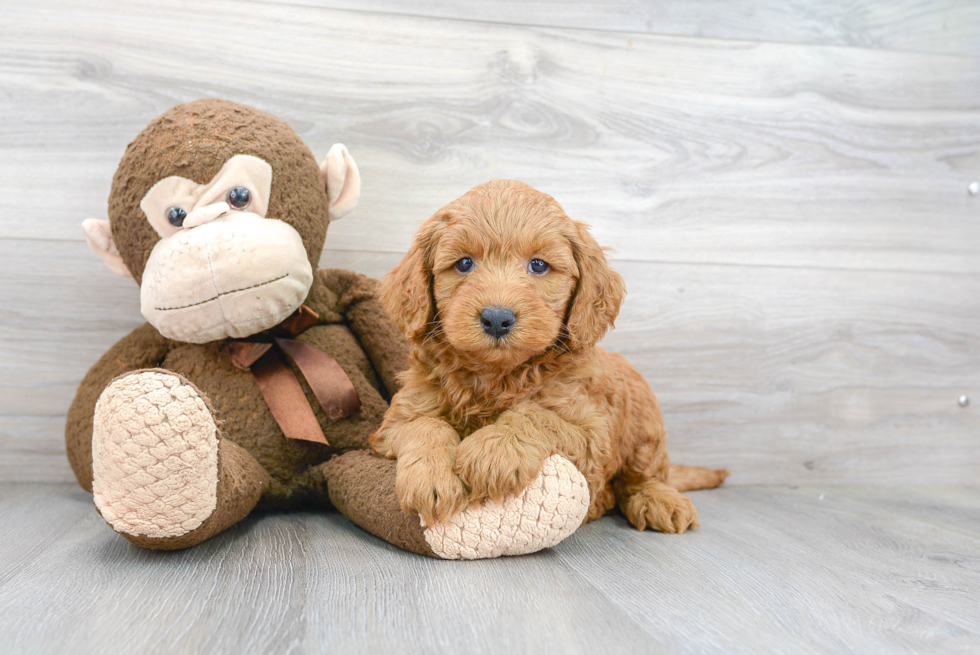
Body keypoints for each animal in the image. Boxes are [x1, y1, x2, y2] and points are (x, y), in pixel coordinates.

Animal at [372, 179, 724, 532]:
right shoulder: (399, 417)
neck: (495, 376)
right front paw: (431, 477)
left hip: (644, 423)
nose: (497, 318)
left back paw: (657, 500)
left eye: (539, 265)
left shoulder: (591, 432)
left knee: (644, 475)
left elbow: (536, 415)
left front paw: (494, 449)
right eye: (464, 263)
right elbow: (424, 425)